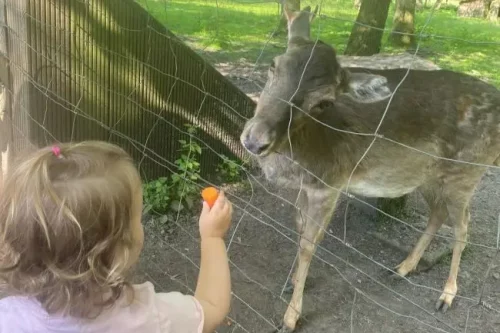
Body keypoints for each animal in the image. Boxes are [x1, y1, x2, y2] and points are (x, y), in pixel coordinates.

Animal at [240, 5, 500, 332]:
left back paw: (446, 295)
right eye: (273, 65)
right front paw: (292, 282)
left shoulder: (330, 182)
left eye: (323, 102)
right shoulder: (308, 185)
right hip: (429, 176)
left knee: (464, 225)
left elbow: (310, 243)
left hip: (467, 172)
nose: (256, 140)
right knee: (438, 214)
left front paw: (290, 317)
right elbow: (299, 229)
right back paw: (403, 267)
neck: (299, 154)